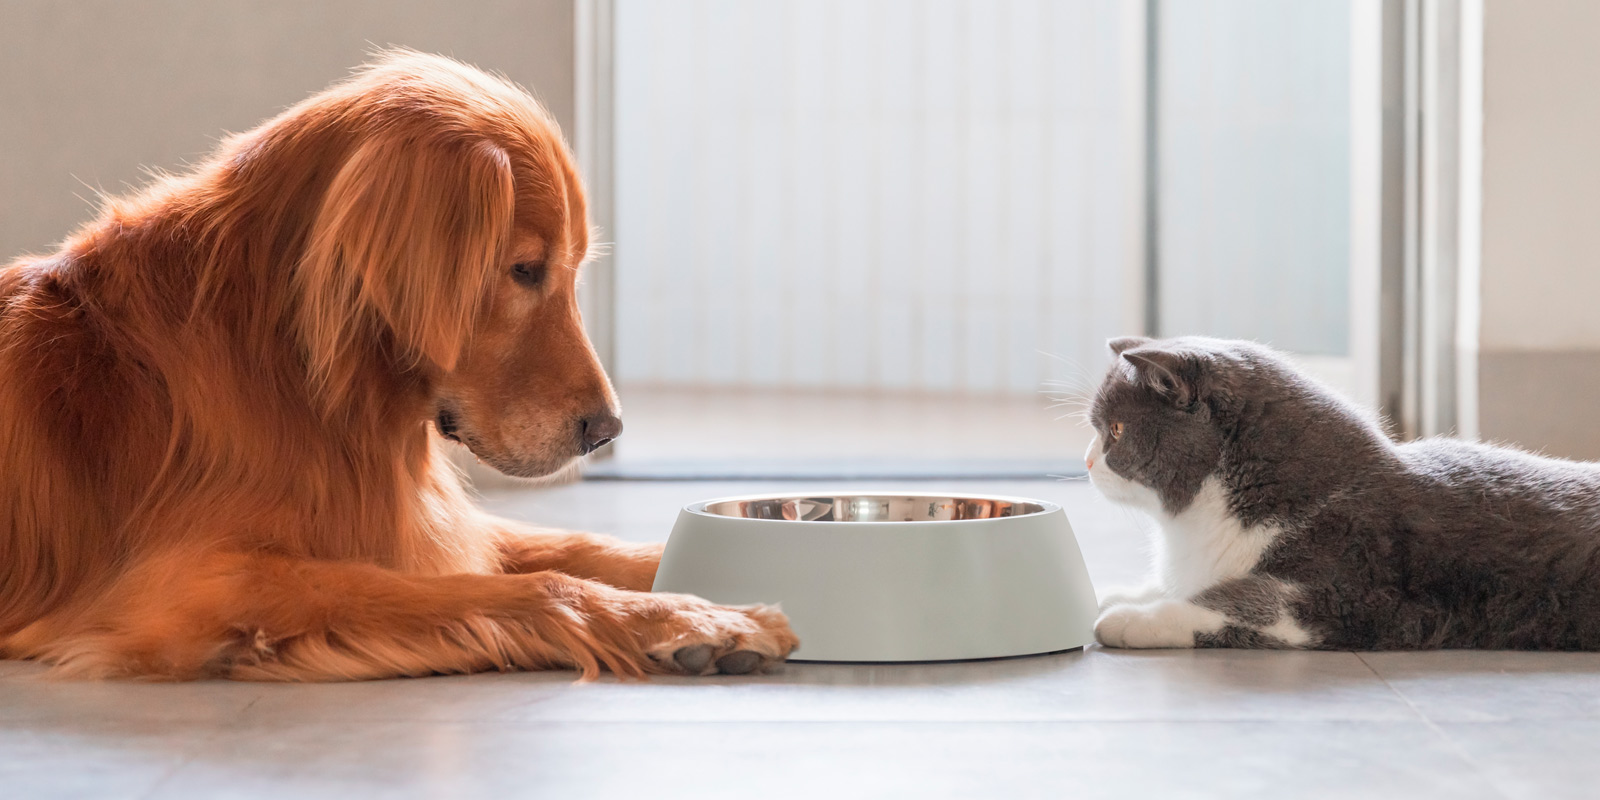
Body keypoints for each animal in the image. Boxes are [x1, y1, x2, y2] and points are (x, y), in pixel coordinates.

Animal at [0, 50, 800, 678]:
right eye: (524, 270)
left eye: (573, 269)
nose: (607, 431)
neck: (293, 368)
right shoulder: (194, 584)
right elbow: (532, 584)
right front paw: (691, 620)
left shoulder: (419, 523)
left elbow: (575, 544)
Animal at [1094, 334, 1600, 646]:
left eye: (1115, 430)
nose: (1086, 461)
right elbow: (1181, 583)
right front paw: (1119, 594)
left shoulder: (1343, 593)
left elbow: (1230, 602)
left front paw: (1130, 618)